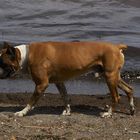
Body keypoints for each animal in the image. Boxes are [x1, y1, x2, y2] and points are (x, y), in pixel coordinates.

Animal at [0, 41, 134, 117]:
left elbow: (31, 102)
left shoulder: (41, 85)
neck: (27, 54)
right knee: (129, 89)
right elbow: (65, 97)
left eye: (3, 64)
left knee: (116, 97)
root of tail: (117, 47)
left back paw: (108, 113)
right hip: (113, 77)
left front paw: (22, 112)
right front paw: (67, 111)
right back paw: (132, 109)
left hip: (110, 77)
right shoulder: (59, 82)